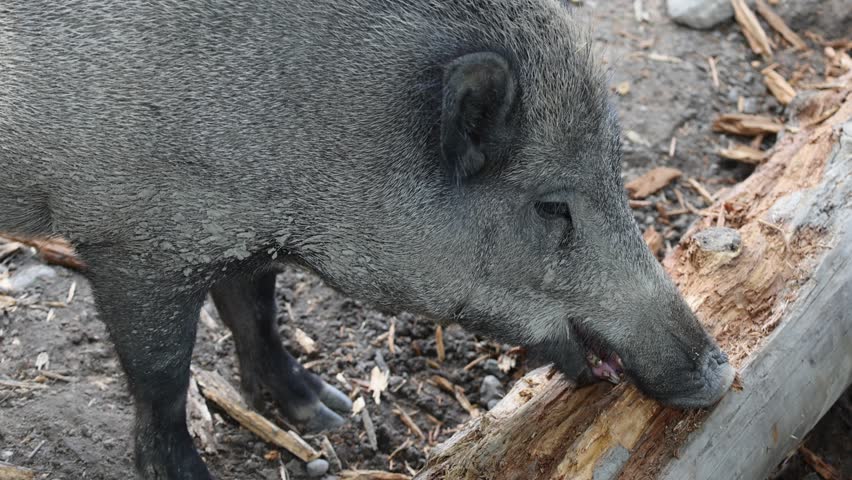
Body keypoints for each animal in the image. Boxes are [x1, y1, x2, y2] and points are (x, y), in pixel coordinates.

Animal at [0, 0, 736, 478]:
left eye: (617, 169)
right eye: (552, 205)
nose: (720, 371)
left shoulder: (240, 237)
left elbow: (256, 313)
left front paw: (328, 413)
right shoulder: (129, 244)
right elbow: (161, 375)